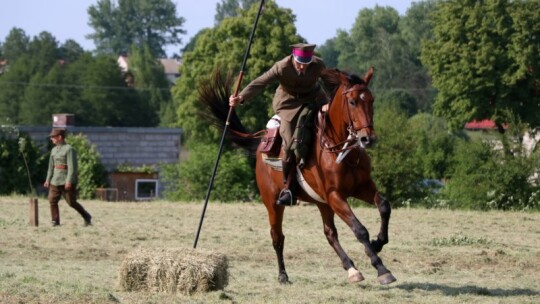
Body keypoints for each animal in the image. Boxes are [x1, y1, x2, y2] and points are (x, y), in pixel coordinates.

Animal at [198, 66, 396, 284]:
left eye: (371, 100)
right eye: (352, 102)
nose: (368, 139)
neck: (341, 150)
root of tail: (260, 144)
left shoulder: (362, 187)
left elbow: (384, 206)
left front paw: (378, 242)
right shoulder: (335, 196)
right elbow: (359, 229)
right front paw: (381, 269)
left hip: (321, 203)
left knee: (330, 233)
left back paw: (351, 269)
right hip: (273, 203)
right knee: (277, 237)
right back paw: (283, 275)